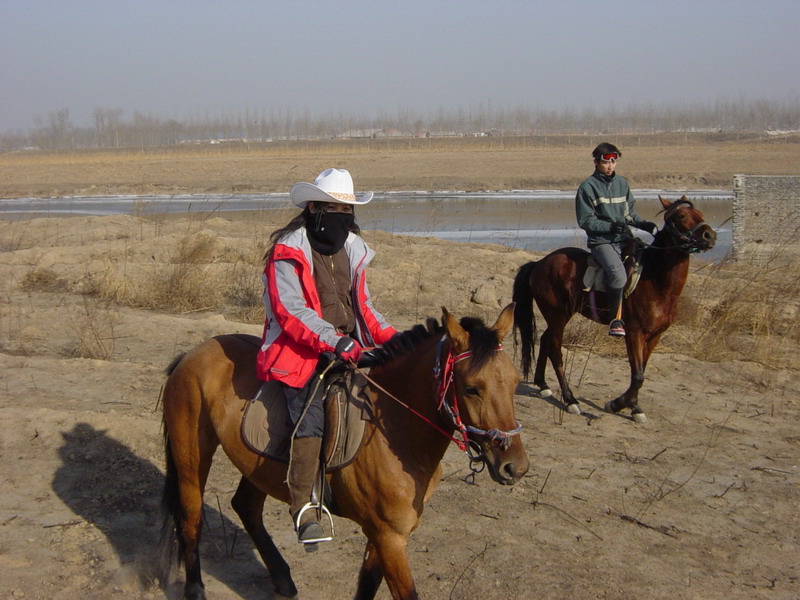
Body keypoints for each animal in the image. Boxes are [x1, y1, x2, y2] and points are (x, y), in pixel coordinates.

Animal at [159, 304, 528, 600]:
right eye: (471, 388)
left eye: (514, 382)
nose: (514, 467)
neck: (394, 428)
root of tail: (195, 352)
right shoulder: (390, 537)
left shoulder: (384, 536)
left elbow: (366, 588)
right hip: (192, 456)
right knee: (191, 517)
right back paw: (195, 589)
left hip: (259, 464)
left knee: (246, 507)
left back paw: (283, 578)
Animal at [516, 197, 716, 422]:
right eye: (681, 216)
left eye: (700, 213)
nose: (710, 235)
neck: (655, 281)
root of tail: (540, 263)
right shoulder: (634, 333)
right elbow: (638, 376)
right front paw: (617, 404)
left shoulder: (655, 335)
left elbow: (641, 370)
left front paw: (634, 407)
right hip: (558, 316)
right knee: (556, 352)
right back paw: (570, 400)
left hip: (558, 317)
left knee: (545, 341)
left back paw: (542, 385)